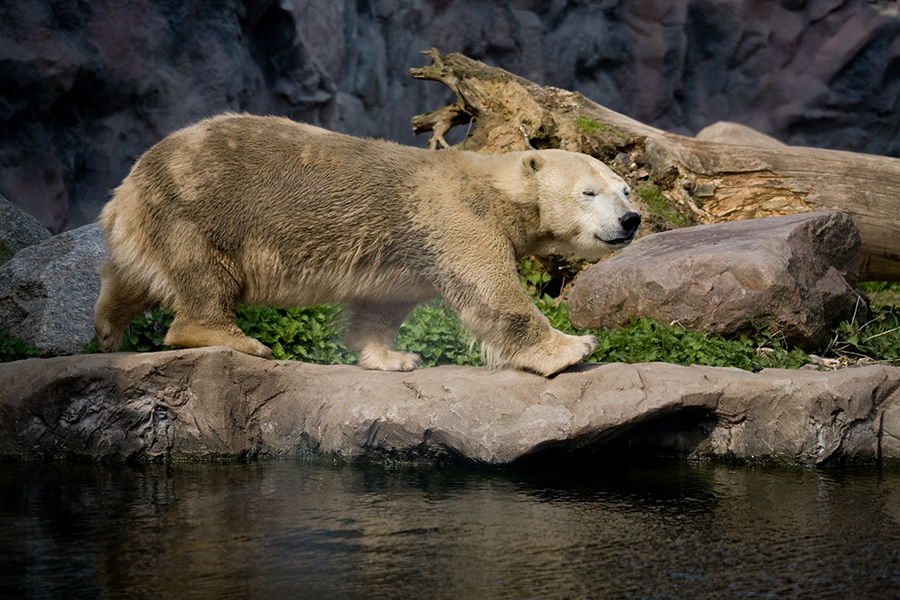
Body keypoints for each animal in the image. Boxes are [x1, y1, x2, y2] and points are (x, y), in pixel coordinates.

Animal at [96, 113, 640, 376]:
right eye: (589, 192)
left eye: (625, 189)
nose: (631, 220)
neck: (497, 188)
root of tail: (127, 186)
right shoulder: (456, 214)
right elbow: (491, 290)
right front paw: (573, 347)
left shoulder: (411, 247)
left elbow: (382, 304)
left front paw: (393, 358)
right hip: (199, 206)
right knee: (204, 276)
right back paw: (238, 339)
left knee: (133, 275)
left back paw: (107, 328)